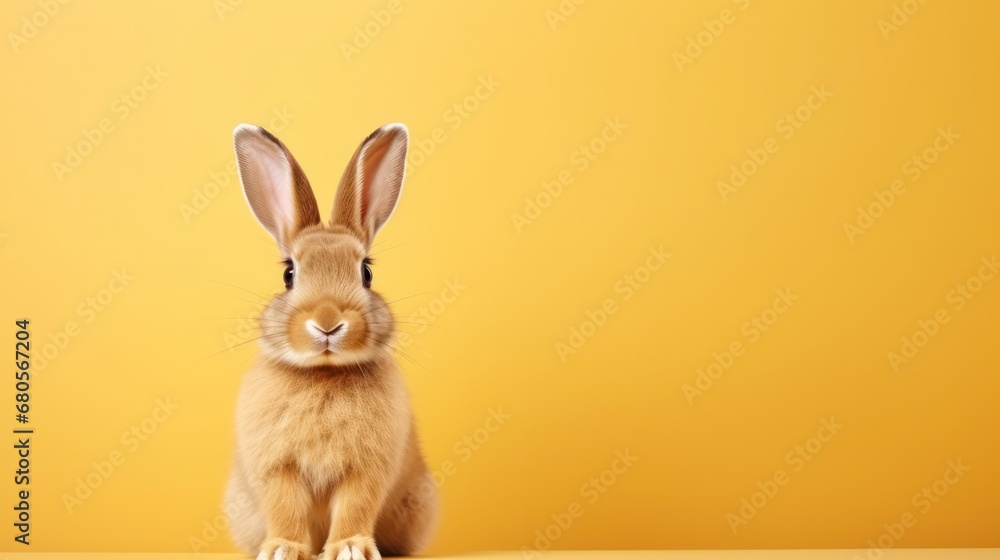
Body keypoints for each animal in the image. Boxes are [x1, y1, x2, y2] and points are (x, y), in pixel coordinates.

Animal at [223, 123, 439, 560]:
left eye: (366, 273)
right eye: (288, 274)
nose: (327, 323)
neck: (323, 374)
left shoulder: (366, 470)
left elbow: (356, 506)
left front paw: (350, 549)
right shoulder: (278, 469)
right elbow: (285, 508)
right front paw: (283, 550)